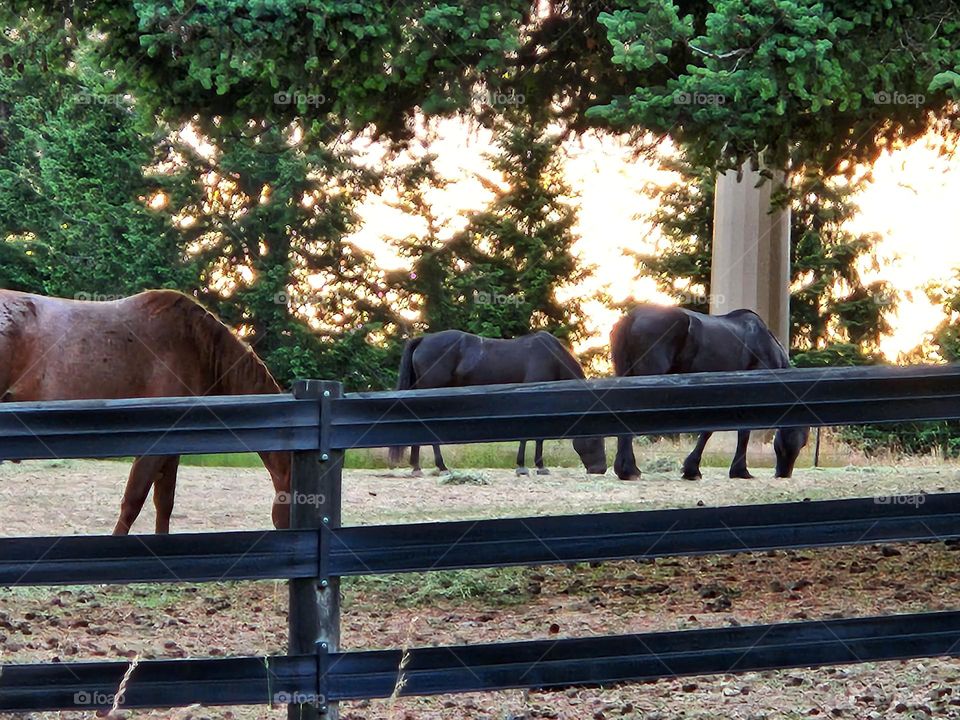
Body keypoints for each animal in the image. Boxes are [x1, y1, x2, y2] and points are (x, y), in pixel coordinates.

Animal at [384, 330, 604, 478]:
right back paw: (440, 467)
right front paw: (527, 466)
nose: (600, 469)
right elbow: (532, 436)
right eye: (594, 438)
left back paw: (417, 467)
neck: (552, 357)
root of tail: (423, 339)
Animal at [612, 300, 808, 480]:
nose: (784, 473)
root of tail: (632, 317)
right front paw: (736, 471)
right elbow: (733, 431)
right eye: (801, 439)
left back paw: (625, 469)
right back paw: (629, 470)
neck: (763, 344)